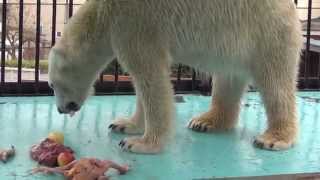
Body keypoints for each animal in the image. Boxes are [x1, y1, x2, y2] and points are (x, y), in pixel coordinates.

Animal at [48, 0, 302, 155]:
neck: (102, 13)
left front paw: (139, 143)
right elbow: (143, 83)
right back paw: (206, 122)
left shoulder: (133, 24)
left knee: (275, 84)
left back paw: (273, 137)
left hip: (266, 31)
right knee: (228, 79)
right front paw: (124, 124)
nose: (61, 109)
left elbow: (152, 79)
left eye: (51, 84)